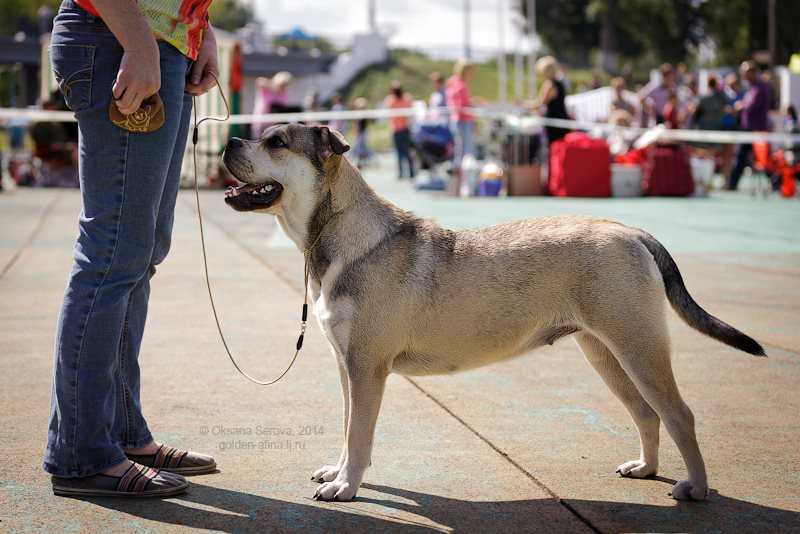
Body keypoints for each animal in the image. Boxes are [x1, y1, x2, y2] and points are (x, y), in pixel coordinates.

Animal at [222, 124, 764, 502]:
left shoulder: (367, 368)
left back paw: (695, 489)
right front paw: (338, 473)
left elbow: (359, 434)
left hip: (639, 346)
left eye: (275, 142)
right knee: (647, 413)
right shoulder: (346, 366)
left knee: (679, 414)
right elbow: (347, 428)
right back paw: (645, 468)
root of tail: (630, 230)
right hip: (606, 353)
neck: (336, 232)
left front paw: (345, 487)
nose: (228, 140)